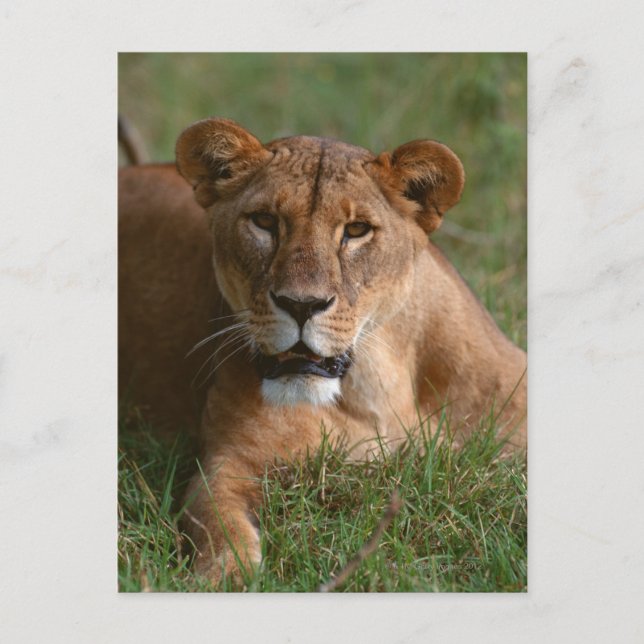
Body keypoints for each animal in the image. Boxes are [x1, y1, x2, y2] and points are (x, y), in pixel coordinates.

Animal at [118, 117, 527, 585]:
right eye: (264, 221)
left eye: (356, 230)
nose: (301, 305)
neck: (376, 389)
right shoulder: (224, 466)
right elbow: (222, 527)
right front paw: (228, 577)